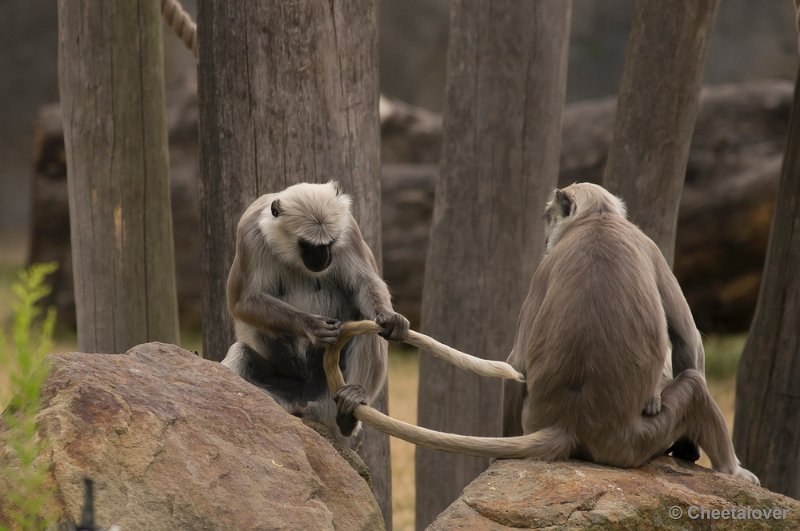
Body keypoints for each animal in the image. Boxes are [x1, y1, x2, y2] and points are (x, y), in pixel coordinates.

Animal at [222, 183, 410, 444]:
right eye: (308, 245)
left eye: (330, 243)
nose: (323, 258)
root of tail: (307, 406)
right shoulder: (249, 232)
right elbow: (242, 301)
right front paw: (313, 327)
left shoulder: (349, 230)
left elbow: (365, 284)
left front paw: (390, 317)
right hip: (286, 392)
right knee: (241, 354)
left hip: (328, 396)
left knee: (370, 325)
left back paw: (350, 410)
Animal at [504, 184, 760, 486]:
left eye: (547, 217)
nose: (546, 240)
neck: (597, 219)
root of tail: (570, 423)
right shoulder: (649, 245)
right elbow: (689, 341)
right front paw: (687, 447)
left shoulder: (545, 267)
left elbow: (517, 363)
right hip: (641, 440)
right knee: (694, 384)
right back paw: (732, 470)